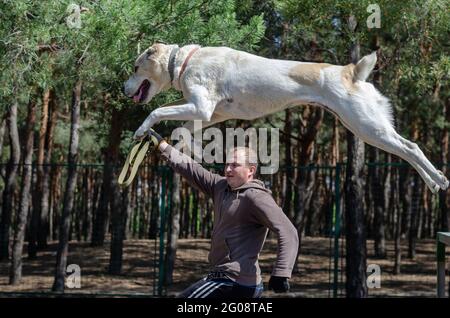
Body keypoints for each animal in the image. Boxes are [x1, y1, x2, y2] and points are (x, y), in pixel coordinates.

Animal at [124, 42, 450, 191]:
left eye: (136, 68)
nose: (124, 88)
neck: (184, 62)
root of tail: (351, 72)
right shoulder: (208, 113)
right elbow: (181, 130)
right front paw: (189, 150)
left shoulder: (201, 107)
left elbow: (156, 110)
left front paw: (141, 130)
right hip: (363, 127)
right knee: (406, 151)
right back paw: (433, 182)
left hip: (368, 127)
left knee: (411, 147)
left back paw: (439, 179)